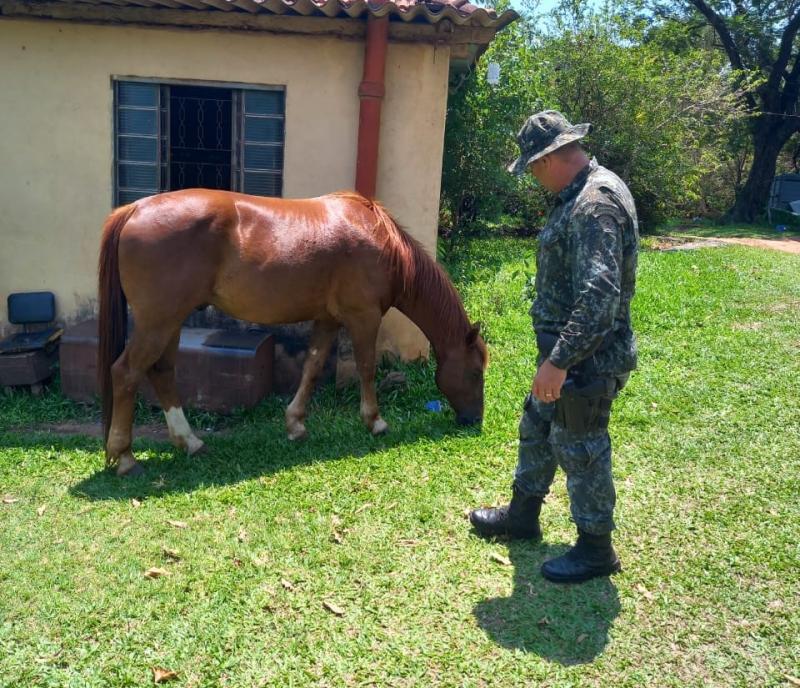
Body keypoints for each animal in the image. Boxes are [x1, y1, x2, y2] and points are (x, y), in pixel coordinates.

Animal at [100, 189, 488, 478]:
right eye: (475, 372)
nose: (473, 420)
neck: (379, 239)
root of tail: (134, 209)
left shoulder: (328, 319)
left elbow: (312, 368)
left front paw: (296, 425)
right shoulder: (363, 317)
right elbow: (366, 368)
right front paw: (375, 422)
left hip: (171, 322)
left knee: (162, 372)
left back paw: (190, 442)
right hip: (158, 322)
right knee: (126, 373)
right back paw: (125, 458)